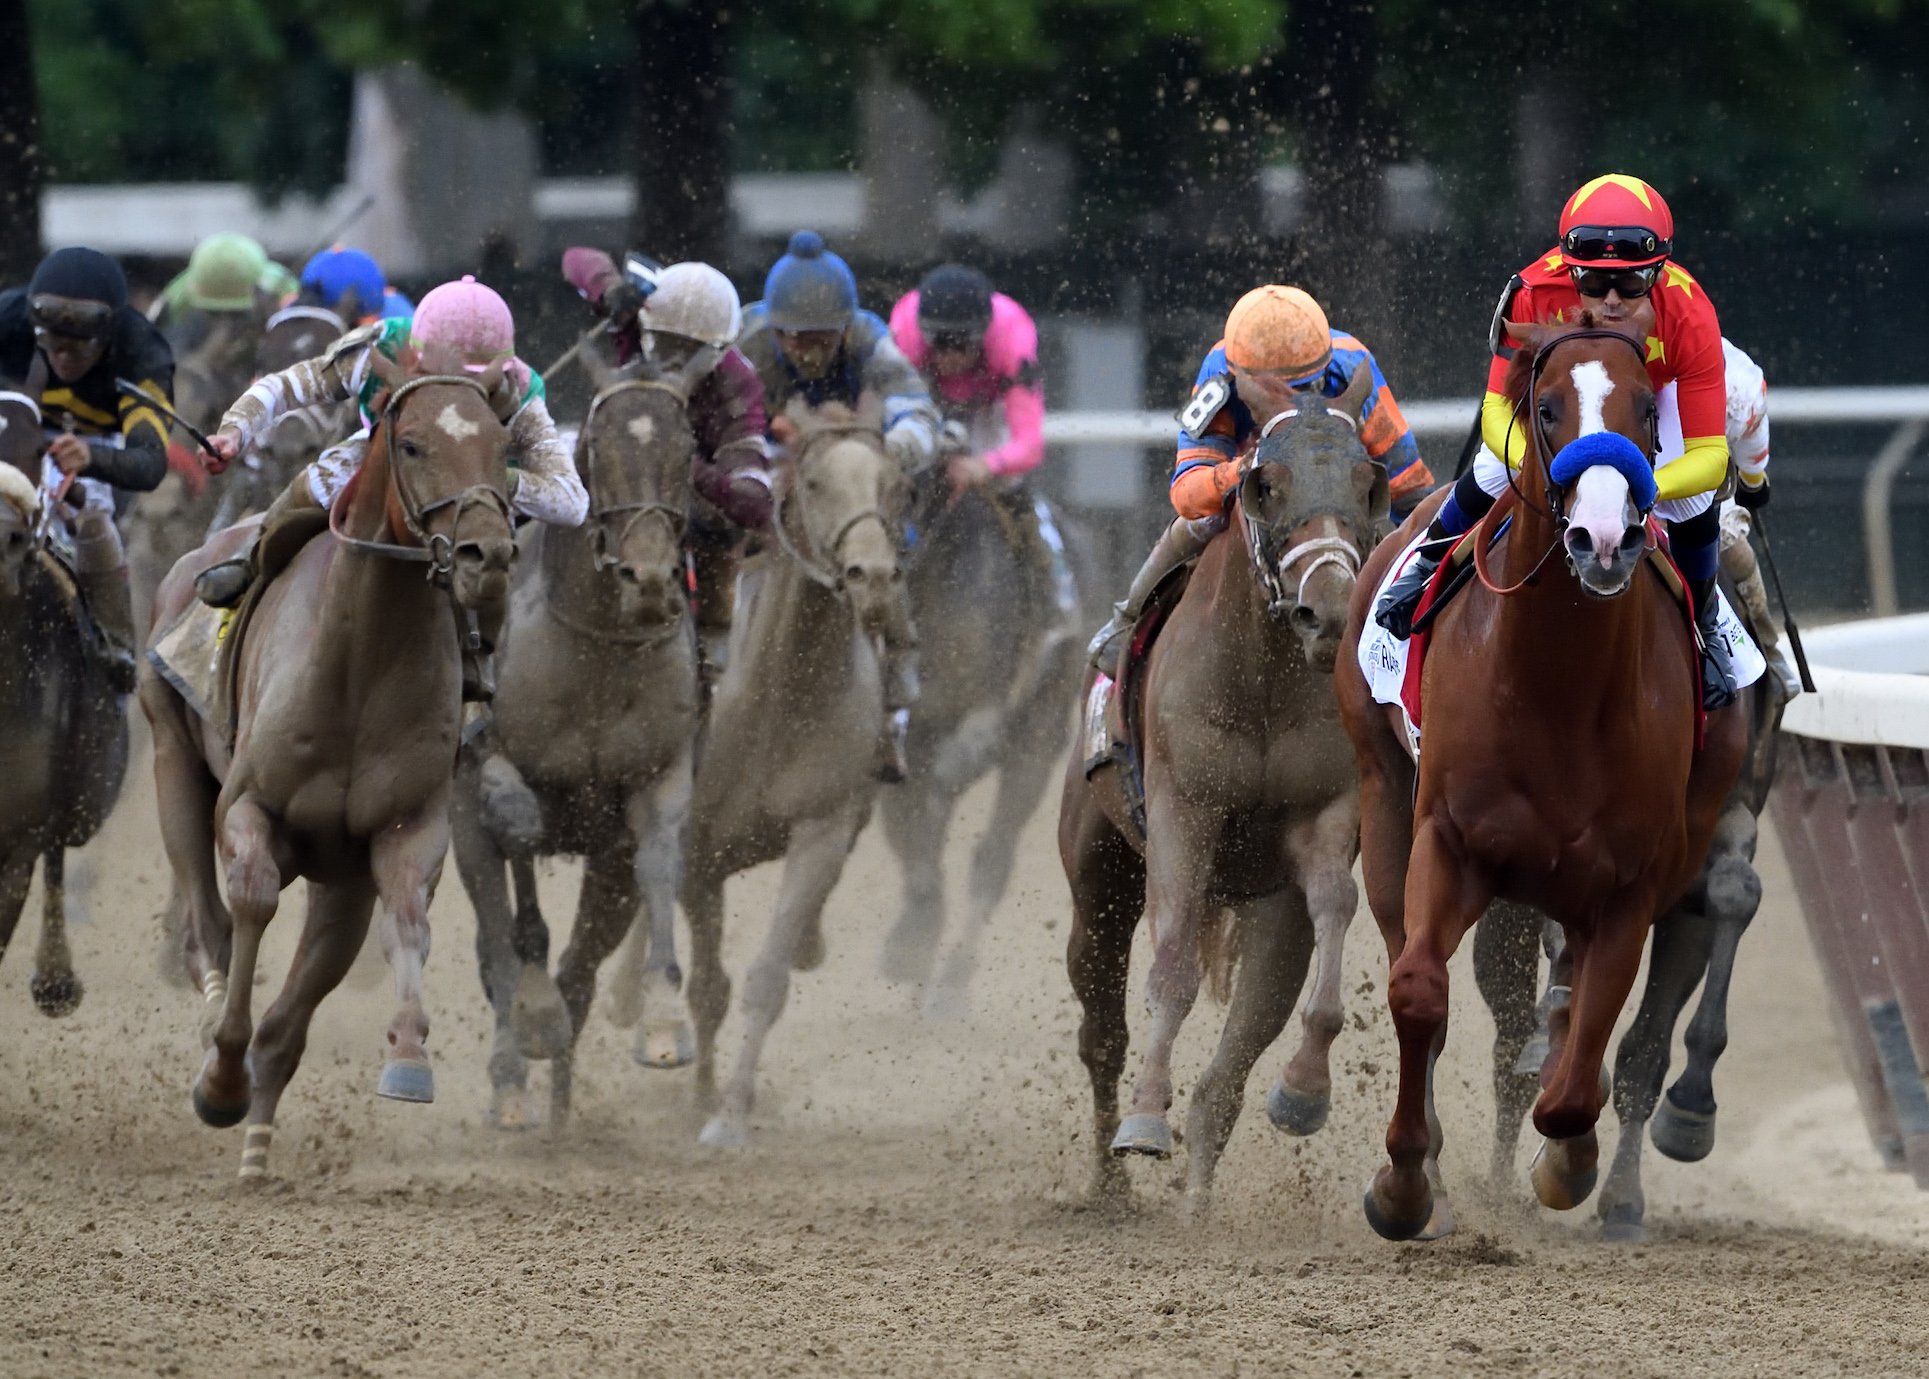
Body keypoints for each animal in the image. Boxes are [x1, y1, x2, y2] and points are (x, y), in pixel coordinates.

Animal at [451, 352, 709, 1134]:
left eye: (689, 448)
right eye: (596, 447)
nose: (650, 580)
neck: (596, 651)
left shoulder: (658, 775)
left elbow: (660, 860)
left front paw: (663, 1021)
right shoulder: (498, 765)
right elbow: (518, 838)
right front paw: (534, 1019)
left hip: (606, 871)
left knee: (584, 966)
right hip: (458, 829)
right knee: (495, 935)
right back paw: (514, 1074)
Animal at [879, 482, 1087, 1010]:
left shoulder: (985, 712)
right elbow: (908, 826)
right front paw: (914, 935)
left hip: (1041, 735)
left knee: (992, 861)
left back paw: (951, 984)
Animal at [1057, 366, 1388, 1211]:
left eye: (1366, 480)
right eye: (1265, 483)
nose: (1327, 611)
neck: (1263, 678)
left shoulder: (1324, 813)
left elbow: (1334, 902)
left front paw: (1303, 1088)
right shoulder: (1185, 808)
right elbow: (1172, 957)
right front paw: (1144, 1119)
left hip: (1268, 916)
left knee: (1230, 1068)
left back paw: (1199, 1194)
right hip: (1096, 875)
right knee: (1101, 1030)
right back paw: (1108, 1180)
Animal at [1342, 320, 1751, 1242]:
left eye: (1645, 410)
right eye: (1546, 407)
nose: (1600, 538)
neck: (1554, 684)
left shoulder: (1630, 884)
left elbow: (1577, 1071)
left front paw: (1568, 1164)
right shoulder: (1449, 839)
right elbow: (1418, 992)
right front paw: (1401, 1185)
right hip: (1382, 795)